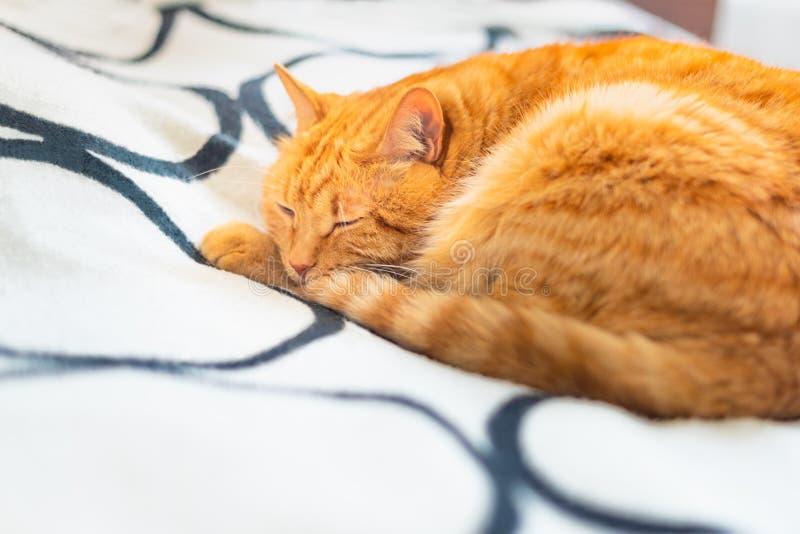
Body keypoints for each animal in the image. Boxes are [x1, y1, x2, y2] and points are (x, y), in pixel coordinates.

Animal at [203, 38, 800, 422]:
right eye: (287, 210)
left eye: (346, 221)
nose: (300, 260)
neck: (506, 113)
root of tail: (771, 365)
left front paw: (248, 245)